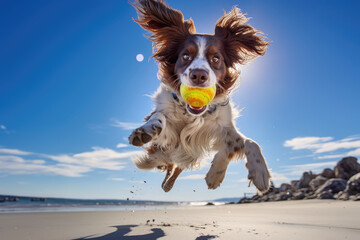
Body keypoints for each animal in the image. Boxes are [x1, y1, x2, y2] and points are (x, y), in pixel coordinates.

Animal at [129, 0, 270, 193]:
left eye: (216, 58)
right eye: (185, 56)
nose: (198, 75)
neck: (192, 114)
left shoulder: (223, 127)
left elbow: (248, 142)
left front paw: (259, 172)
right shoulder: (169, 133)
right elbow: (159, 117)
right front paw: (146, 130)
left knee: (177, 168)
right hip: (165, 154)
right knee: (169, 167)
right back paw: (167, 183)